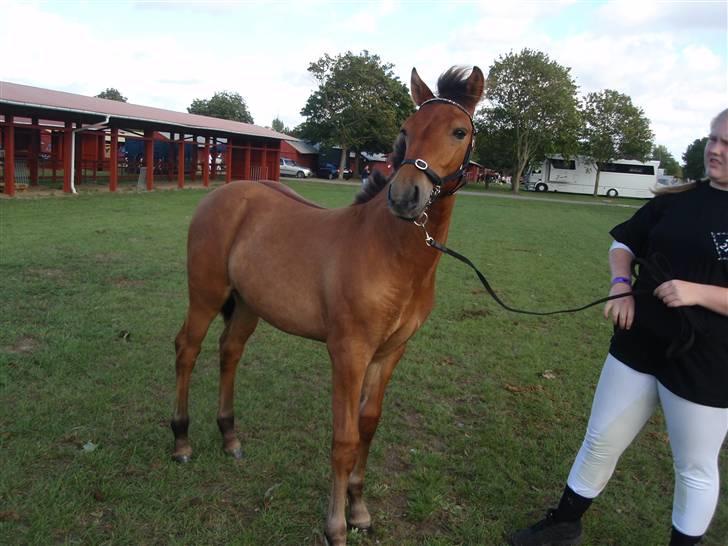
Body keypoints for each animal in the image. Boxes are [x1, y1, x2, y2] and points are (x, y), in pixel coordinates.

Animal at [172, 66, 484, 540]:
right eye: (406, 130)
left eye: (459, 131)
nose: (405, 196)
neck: (391, 255)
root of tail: (223, 193)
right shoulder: (348, 353)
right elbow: (344, 438)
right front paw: (335, 525)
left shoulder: (390, 353)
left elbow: (368, 426)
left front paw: (359, 510)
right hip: (206, 294)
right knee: (187, 349)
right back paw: (182, 440)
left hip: (246, 305)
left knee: (230, 350)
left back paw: (230, 437)